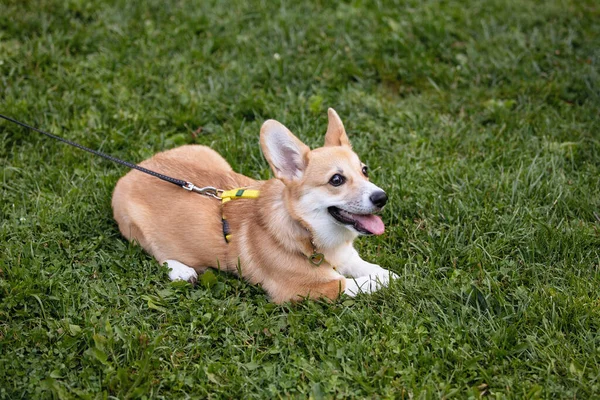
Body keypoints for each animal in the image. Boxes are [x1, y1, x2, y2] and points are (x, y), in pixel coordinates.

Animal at [112, 108, 396, 302]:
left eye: (364, 170)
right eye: (336, 180)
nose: (381, 197)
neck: (306, 230)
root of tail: (136, 169)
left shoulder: (346, 256)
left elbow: (367, 267)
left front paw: (383, 272)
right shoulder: (305, 288)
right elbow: (357, 283)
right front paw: (387, 281)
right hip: (134, 228)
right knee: (158, 254)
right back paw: (181, 271)